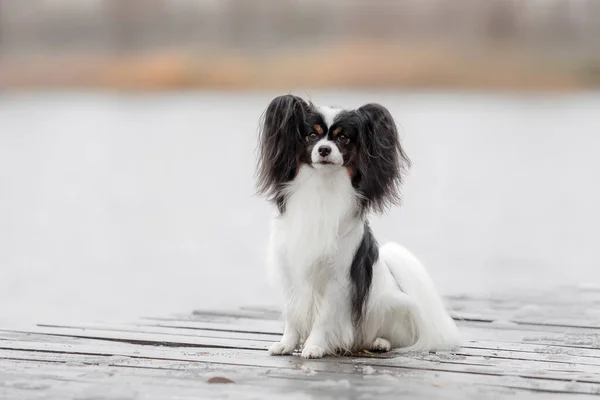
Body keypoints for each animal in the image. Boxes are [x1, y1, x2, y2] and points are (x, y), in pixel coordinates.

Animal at [254, 94, 460, 360]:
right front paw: (286, 344)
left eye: (343, 138)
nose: (324, 149)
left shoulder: (338, 278)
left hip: (385, 305)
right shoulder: (290, 271)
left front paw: (314, 347)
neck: (322, 187)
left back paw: (379, 342)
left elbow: (324, 318)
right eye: (311, 136)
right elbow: (292, 314)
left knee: (395, 335)